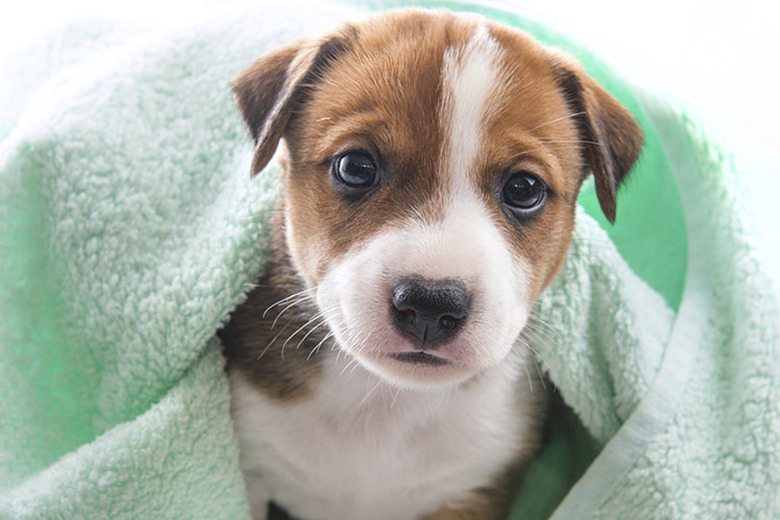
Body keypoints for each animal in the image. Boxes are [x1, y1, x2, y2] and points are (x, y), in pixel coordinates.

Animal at [218, 9, 640, 520]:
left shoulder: (470, 492)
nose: (430, 305)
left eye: (524, 189)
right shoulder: (253, 466)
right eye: (355, 167)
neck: (385, 405)